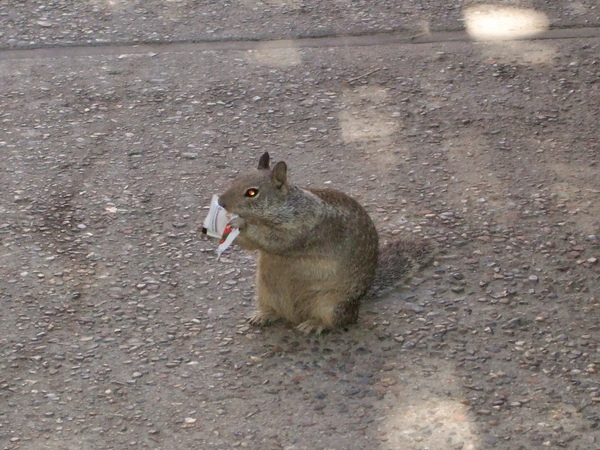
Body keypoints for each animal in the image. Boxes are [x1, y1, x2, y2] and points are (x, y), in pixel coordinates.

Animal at [218, 153, 428, 332]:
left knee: (338, 321)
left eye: (252, 193)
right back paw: (262, 316)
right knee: (276, 311)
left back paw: (313, 324)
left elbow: (275, 240)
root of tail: (358, 303)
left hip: (330, 305)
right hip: (265, 292)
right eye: (235, 179)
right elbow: (253, 246)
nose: (220, 202)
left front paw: (239, 224)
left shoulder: (303, 227)